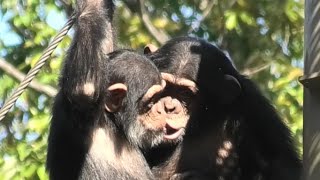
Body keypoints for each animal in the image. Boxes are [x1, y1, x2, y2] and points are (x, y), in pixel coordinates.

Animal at [47, 0, 169, 180]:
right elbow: (86, 87)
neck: (110, 121)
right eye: (151, 102)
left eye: (160, 97)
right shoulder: (80, 110)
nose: (161, 110)